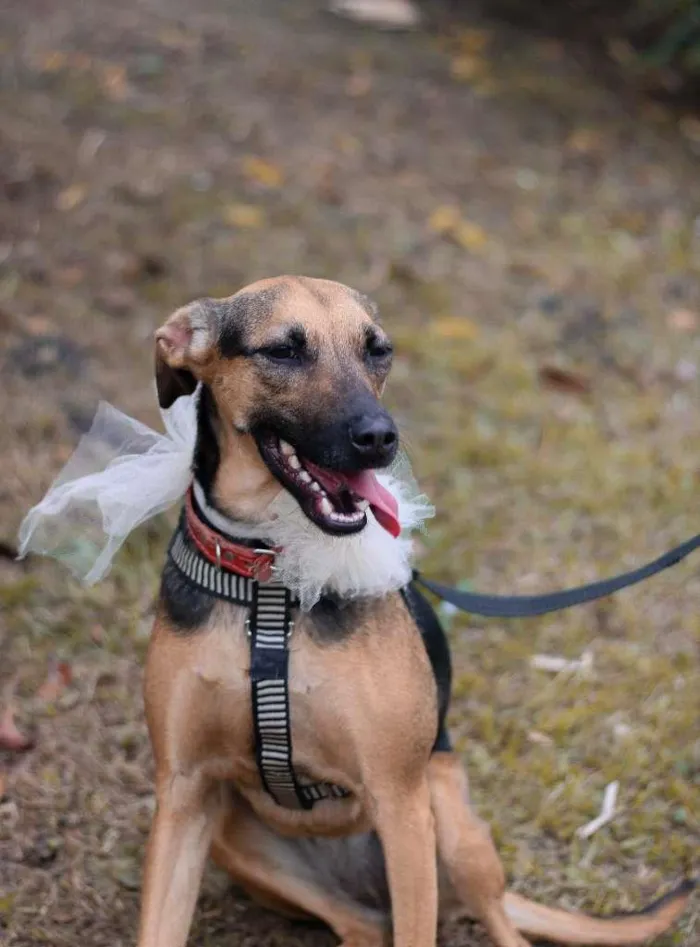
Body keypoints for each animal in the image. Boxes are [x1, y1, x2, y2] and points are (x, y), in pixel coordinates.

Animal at [138, 274, 696, 947]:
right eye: (283, 350)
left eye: (377, 349)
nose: (380, 438)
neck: (271, 580)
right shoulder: (183, 793)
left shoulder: (400, 801)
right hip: (231, 834)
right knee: (360, 923)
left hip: (452, 829)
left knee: (493, 921)